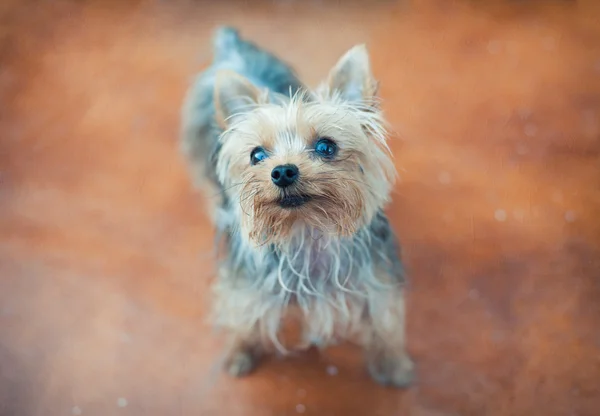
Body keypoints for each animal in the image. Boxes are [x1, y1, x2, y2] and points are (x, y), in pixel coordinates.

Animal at [178, 27, 412, 388]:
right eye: (256, 155)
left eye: (326, 146)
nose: (283, 171)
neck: (306, 229)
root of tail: (231, 46)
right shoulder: (245, 289)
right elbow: (242, 319)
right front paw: (240, 354)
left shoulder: (376, 285)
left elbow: (384, 325)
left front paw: (393, 366)